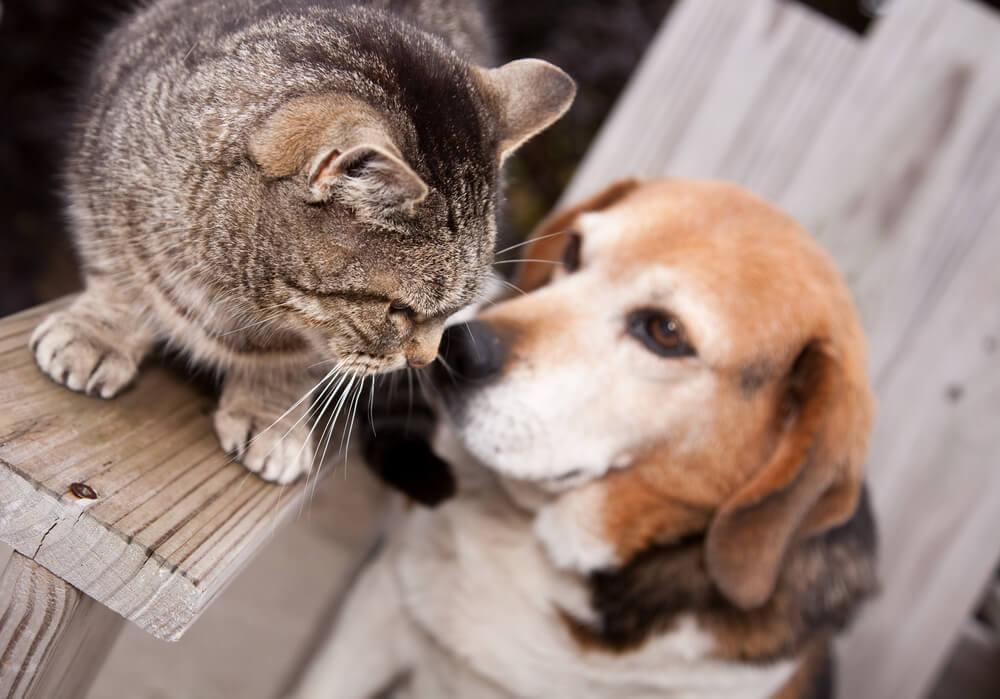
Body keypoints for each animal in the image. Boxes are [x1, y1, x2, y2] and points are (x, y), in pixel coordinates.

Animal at [29, 0, 572, 484]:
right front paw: (100, 335)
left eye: (452, 310)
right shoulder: (100, 181)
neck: (238, 295)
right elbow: (121, 280)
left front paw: (271, 412)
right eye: (399, 310)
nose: (423, 360)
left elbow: (290, 361)